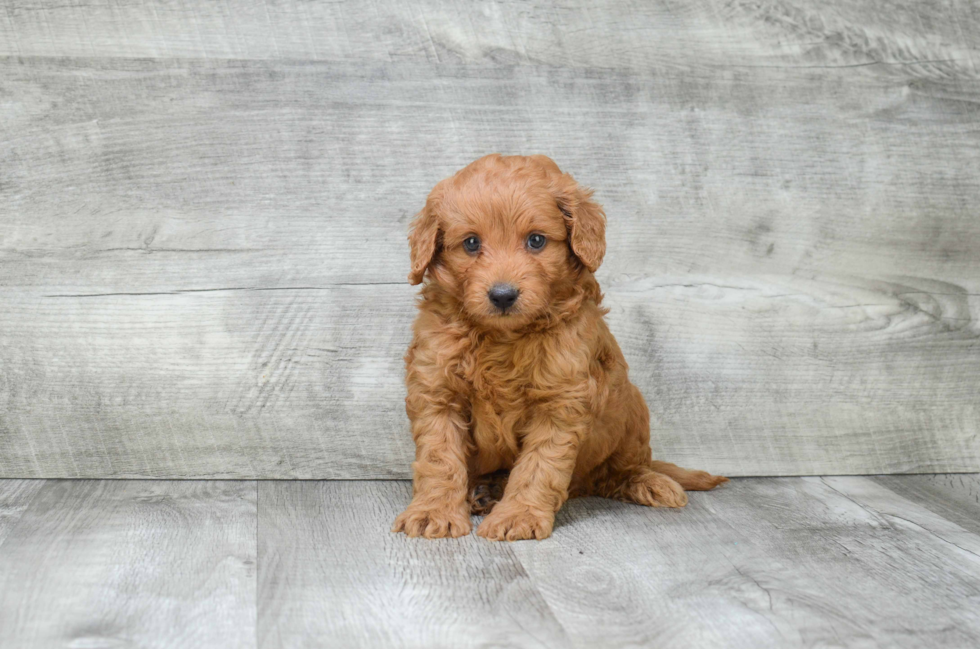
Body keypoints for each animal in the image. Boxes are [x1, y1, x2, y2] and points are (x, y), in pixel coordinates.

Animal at [392, 154, 728, 540]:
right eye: (472, 243)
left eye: (536, 241)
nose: (503, 295)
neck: (502, 337)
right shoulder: (437, 392)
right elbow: (439, 459)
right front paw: (433, 512)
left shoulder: (560, 402)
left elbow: (539, 465)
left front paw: (518, 516)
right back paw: (485, 490)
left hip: (632, 411)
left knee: (619, 471)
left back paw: (648, 482)